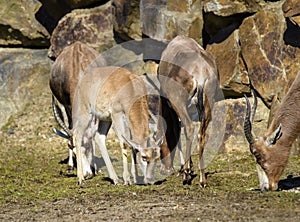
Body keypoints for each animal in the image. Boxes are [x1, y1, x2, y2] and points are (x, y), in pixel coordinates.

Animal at [50, 40, 108, 174]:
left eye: (87, 146)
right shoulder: (68, 105)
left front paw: (95, 167)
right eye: (72, 147)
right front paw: (70, 165)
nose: (87, 174)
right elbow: (71, 127)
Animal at [158, 36, 219, 186]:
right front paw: (190, 168)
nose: (165, 170)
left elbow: (177, 129)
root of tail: (201, 72)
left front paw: (184, 169)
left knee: (189, 127)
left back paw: (185, 175)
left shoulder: (170, 105)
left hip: (178, 103)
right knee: (201, 134)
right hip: (208, 105)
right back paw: (202, 179)